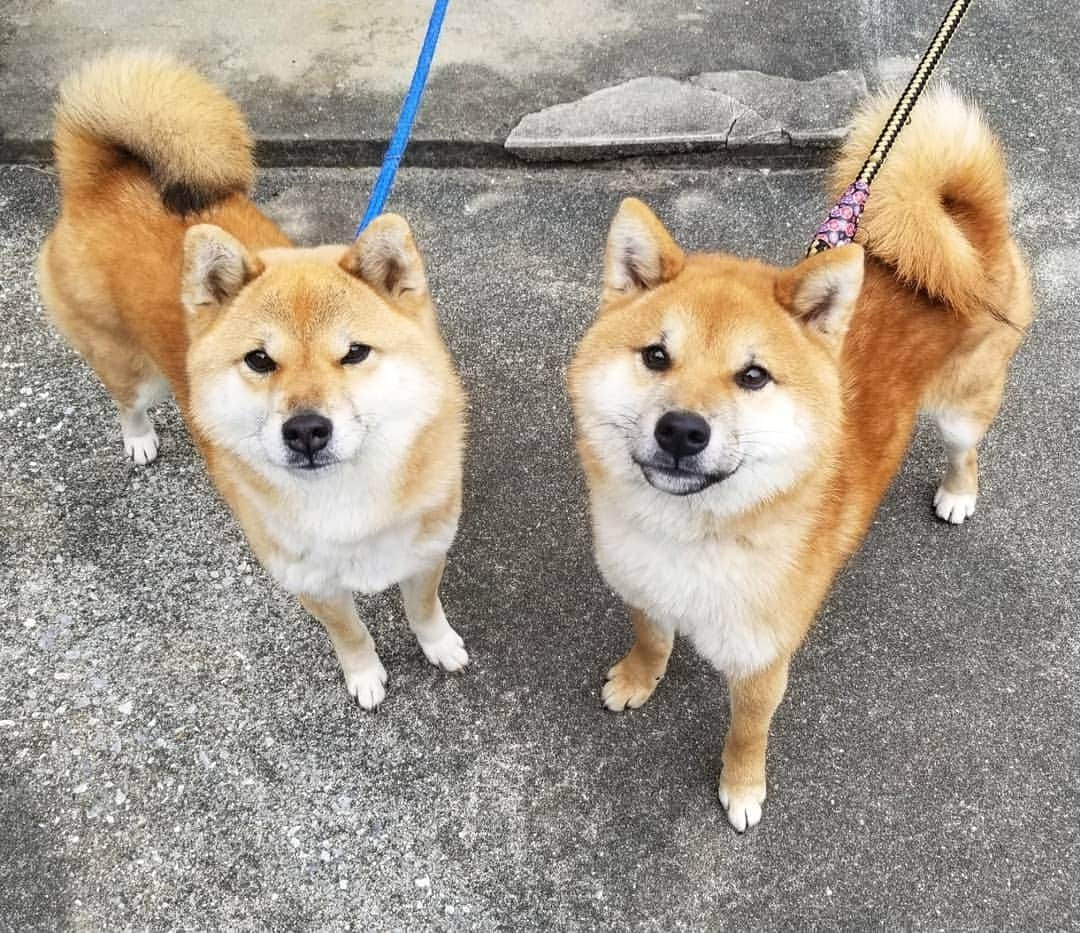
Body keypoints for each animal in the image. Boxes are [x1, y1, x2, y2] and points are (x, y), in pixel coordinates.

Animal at [36, 52, 468, 708]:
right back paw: (138, 439)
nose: (307, 431)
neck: (347, 499)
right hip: (132, 369)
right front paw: (365, 676)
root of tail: (100, 181)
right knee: (127, 400)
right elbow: (352, 634)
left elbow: (423, 610)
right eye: (260, 361)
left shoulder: (426, 550)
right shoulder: (309, 582)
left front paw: (439, 646)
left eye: (355, 354)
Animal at [570, 89, 1032, 829]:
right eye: (656, 356)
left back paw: (958, 492)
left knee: (966, 450)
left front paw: (742, 787)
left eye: (753, 376)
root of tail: (964, 224)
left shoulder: (763, 661)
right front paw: (639, 678)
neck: (693, 534)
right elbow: (652, 640)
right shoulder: (644, 591)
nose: (681, 431)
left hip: (965, 404)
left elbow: (746, 732)